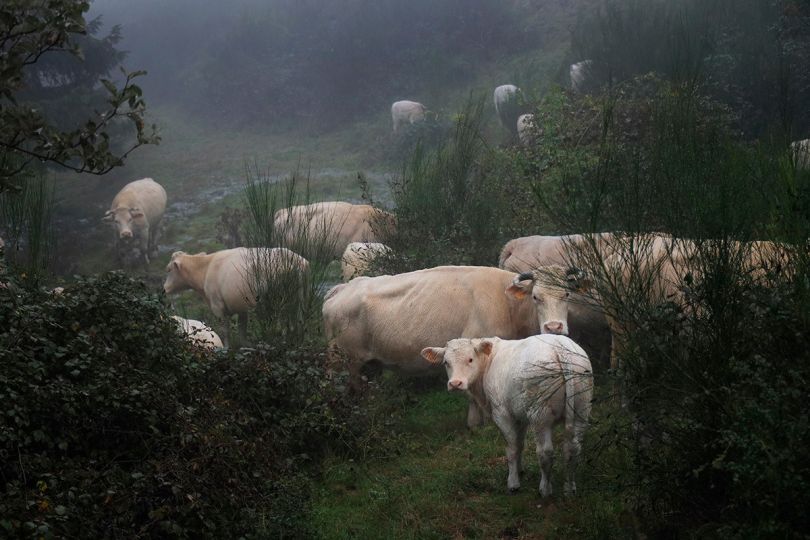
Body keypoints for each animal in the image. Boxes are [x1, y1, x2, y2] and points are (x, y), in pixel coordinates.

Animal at [422, 336, 592, 496]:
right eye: (446, 362)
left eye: (470, 359)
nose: (455, 383)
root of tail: (560, 346)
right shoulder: (520, 415)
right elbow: (520, 444)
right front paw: (520, 470)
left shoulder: (502, 413)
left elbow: (512, 448)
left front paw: (513, 483)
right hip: (582, 409)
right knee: (573, 448)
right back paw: (570, 488)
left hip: (540, 415)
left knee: (545, 452)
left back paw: (545, 489)